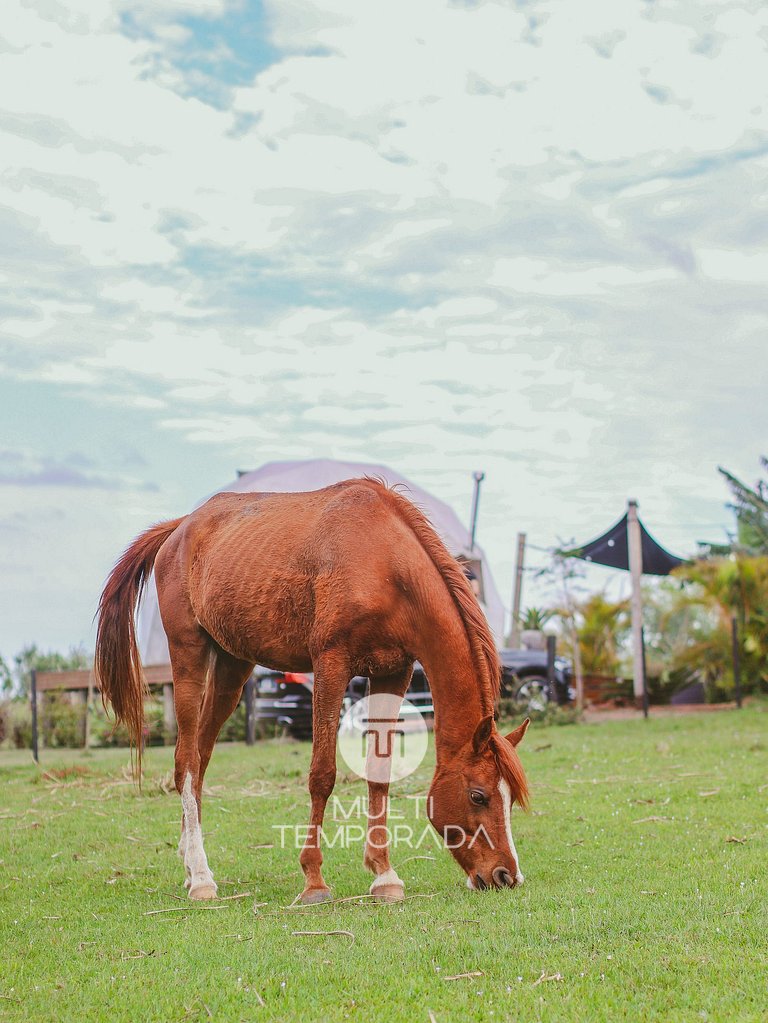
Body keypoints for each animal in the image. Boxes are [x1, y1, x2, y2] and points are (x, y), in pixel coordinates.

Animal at [94, 478, 527, 904]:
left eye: (510, 799)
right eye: (478, 795)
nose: (506, 875)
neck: (385, 564)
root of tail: (180, 528)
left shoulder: (394, 673)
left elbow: (379, 773)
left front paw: (385, 874)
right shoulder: (330, 666)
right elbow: (323, 774)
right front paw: (314, 879)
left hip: (232, 668)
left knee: (201, 756)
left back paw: (189, 862)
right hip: (189, 655)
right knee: (186, 760)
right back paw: (201, 878)